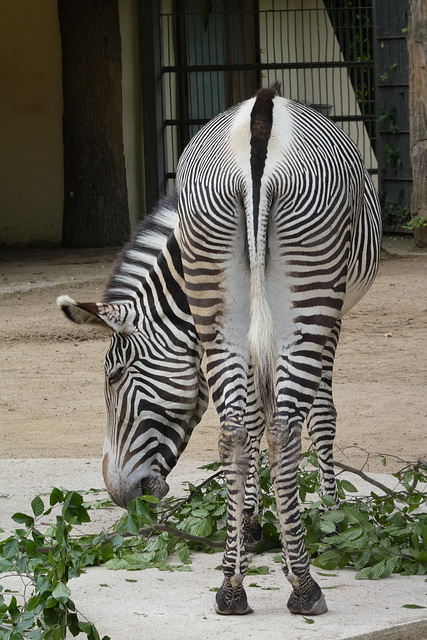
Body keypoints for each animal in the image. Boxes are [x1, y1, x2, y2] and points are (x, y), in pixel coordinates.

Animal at [176, 85, 382, 616]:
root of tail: (261, 113)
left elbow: (252, 419)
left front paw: (250, 521)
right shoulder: (335, 316)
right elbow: (323, 414)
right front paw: (332, 514)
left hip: (215, 294)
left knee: (234, 431)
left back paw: (231, 587)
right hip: (313, 288)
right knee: (287, 429)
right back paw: (305, 585)